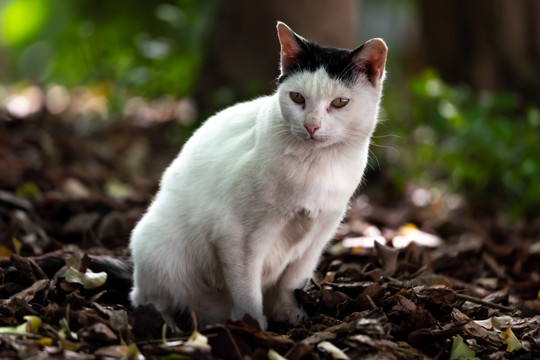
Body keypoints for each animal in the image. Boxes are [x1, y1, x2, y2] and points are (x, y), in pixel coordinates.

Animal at [129, 21, 386, 330]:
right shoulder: (237, 237)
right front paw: (253, 327)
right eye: (297, 97)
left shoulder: (318, 236)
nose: (311, 126)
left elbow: (292, 281)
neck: (315, 168)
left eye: (339, 102)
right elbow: (247, 292)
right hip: (158, 250)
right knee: (150, 300)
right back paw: (170, 324)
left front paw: (287, 312)